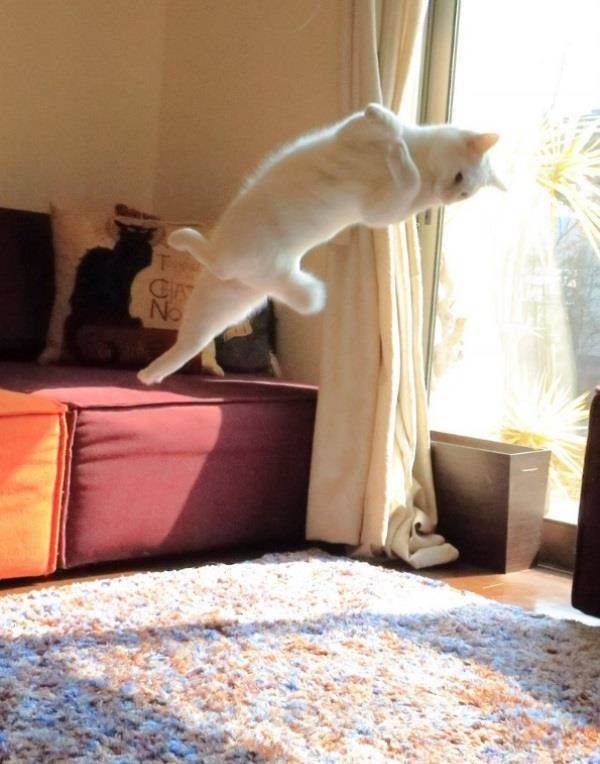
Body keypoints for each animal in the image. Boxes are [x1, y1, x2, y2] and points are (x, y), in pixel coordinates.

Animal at [65, 221, 155, 361]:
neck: (127, 274)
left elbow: (126, 305)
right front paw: (128, 321)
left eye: (140, 249)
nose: (130, 261)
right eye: (126, 247)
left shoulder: (125, 292)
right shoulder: (116, 292)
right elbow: (122, 308)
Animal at [138, 103, 504, 385]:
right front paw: (385, 124)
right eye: (460, 180)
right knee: (193, 331)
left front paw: (397, 147)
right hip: (218, 298)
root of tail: (273, 275)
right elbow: (388, 127)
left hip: (226, 290)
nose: (447, 198)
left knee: (208, 289)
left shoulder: (381, 211)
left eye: (464, 194)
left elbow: (406, 173)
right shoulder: (351, 137)